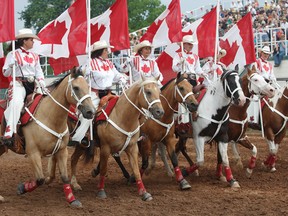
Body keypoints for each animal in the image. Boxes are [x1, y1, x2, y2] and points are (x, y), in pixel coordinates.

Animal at [0, 66, 95, 208]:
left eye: (88, 86)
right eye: (76, 87)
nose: (91, 112)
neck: (49, 116)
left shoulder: (62, 151)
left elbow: (64, 177)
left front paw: (72, 199)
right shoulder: (33, 153)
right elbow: (40, 179)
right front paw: (22, 188)